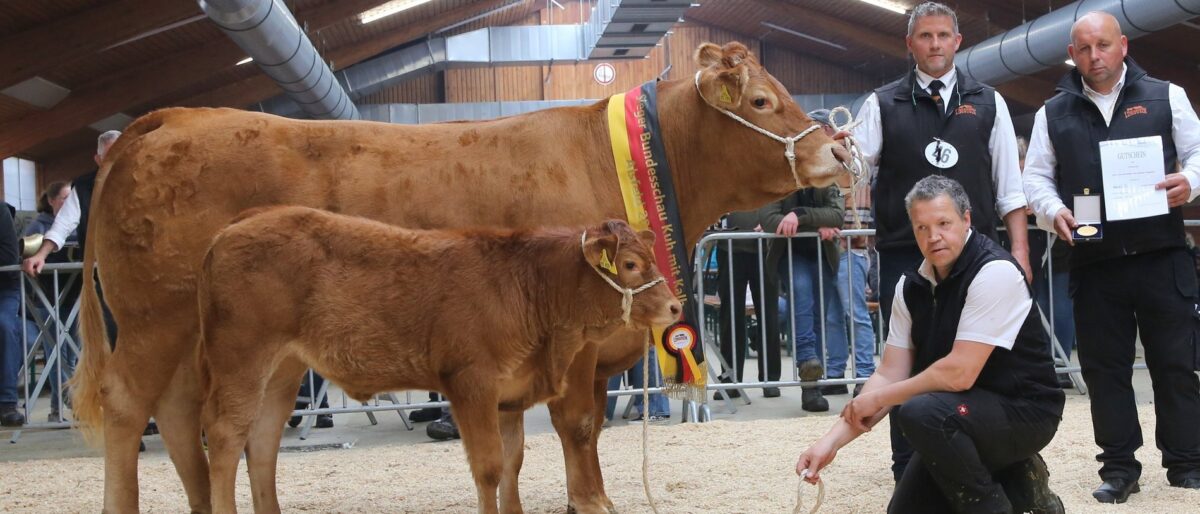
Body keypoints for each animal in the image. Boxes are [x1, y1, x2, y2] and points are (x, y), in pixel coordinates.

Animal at [198, 210, 679, 514]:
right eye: (630, 263)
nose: (675, 307)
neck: (527, 286)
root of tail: (237, 224)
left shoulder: (511, 392)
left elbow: (513, 460)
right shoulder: (472, 383)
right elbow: (488, 467)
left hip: (283, 369)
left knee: (262, 440)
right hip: (241, 358)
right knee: (224, 436)